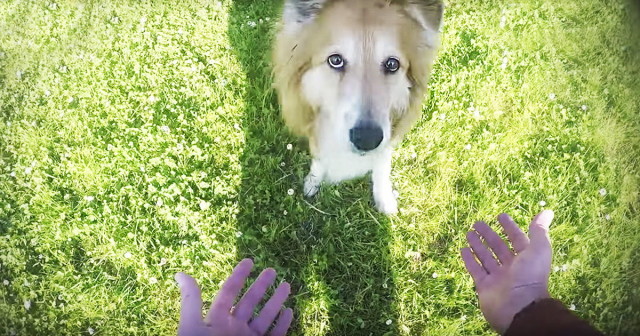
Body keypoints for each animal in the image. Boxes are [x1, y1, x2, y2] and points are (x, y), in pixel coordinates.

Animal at [272, 0, 442, 214]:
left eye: (392, 64)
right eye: (335, 60)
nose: (367, 139)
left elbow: (382, 161)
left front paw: (384, 197)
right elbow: (318, 154)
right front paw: (313, 181)